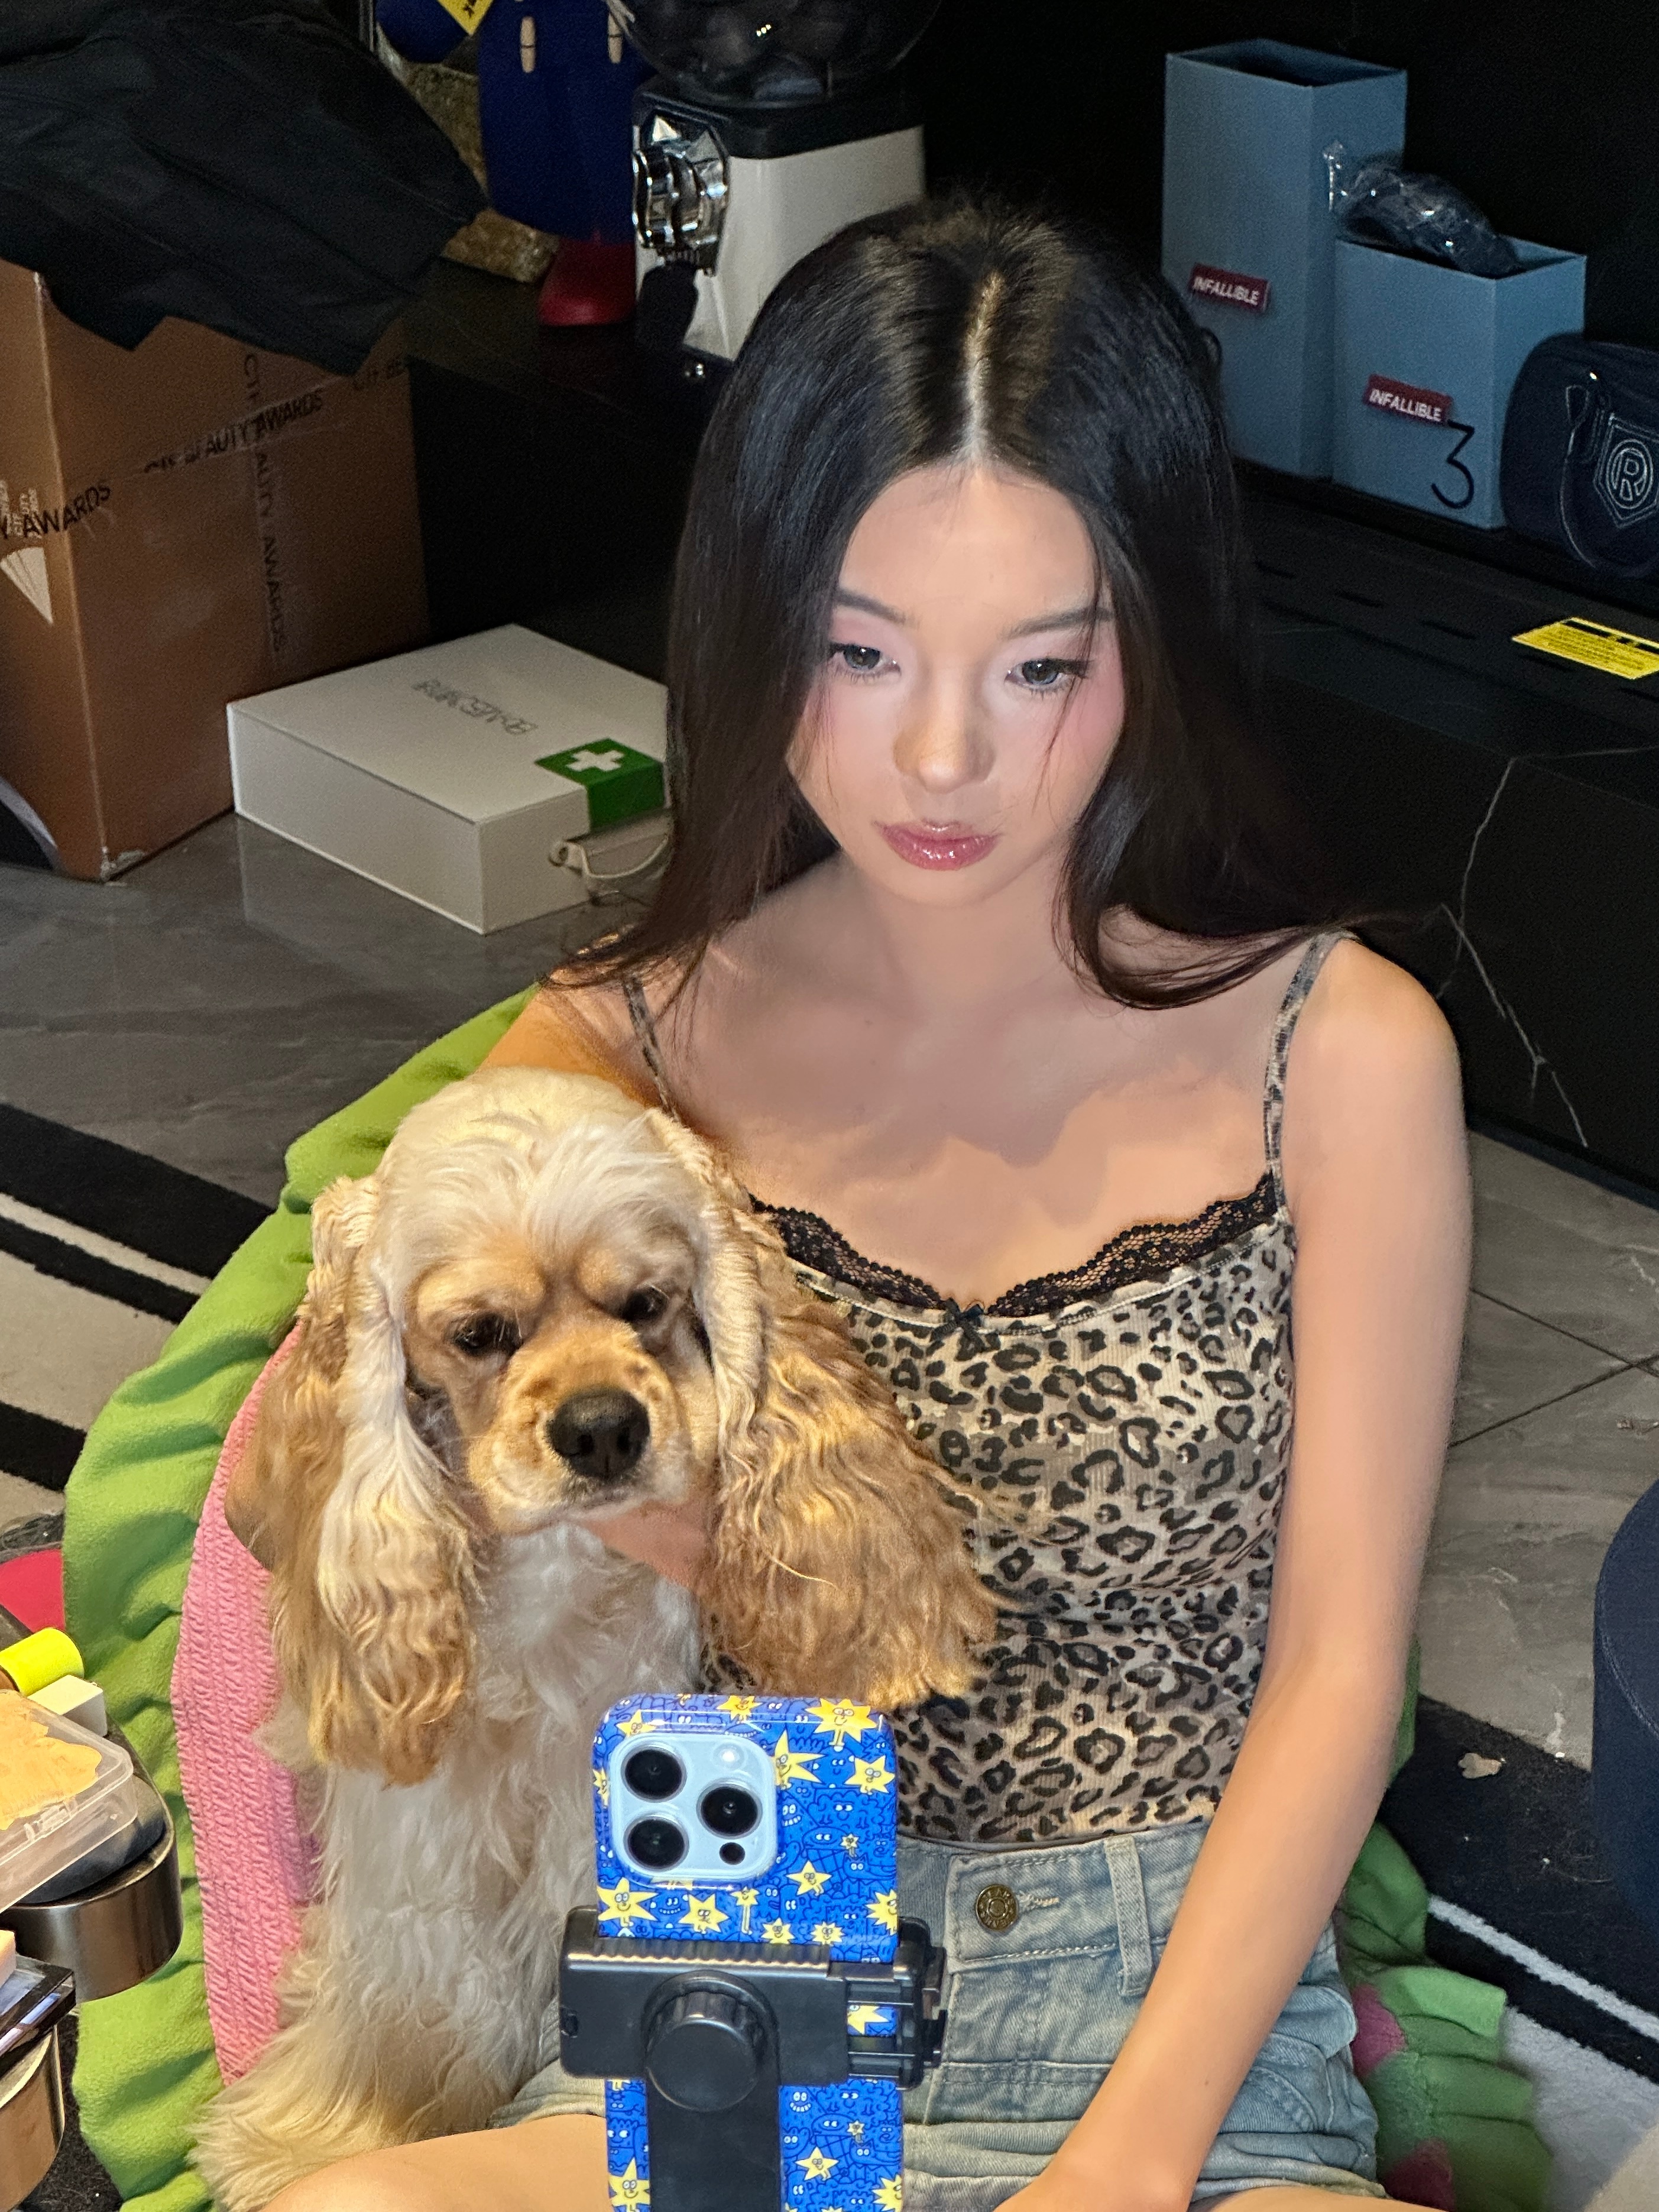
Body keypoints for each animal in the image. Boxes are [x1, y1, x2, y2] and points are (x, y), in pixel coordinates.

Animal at [195, 1066, 992, 2209]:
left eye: (646, 1305)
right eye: (480, 1333)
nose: (604, 1428)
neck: (553, 1579)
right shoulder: (422, 1836)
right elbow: (409, 1988)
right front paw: (327, 2136)